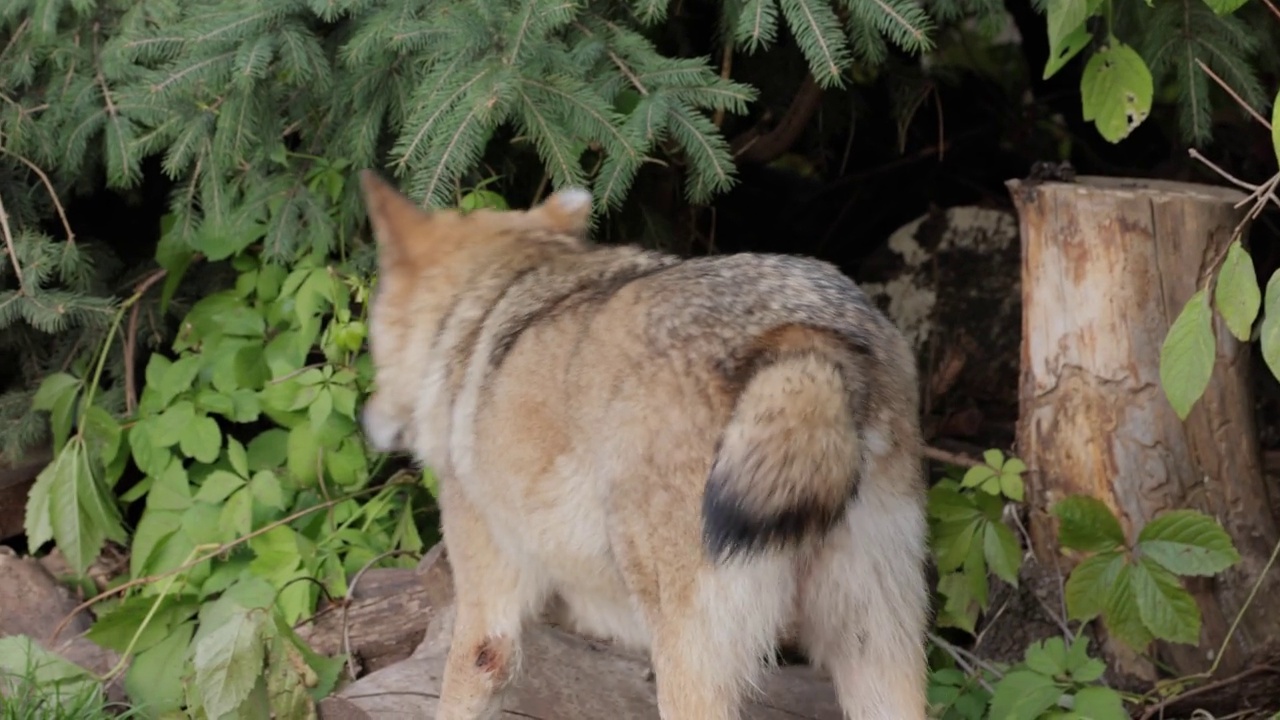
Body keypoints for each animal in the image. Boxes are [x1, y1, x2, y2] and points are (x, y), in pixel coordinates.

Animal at [360, 169, 931, 717]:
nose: (367, 421)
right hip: (874, 651)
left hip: (691, 661)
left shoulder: (486, 629)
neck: (483, 305)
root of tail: (807, 339)